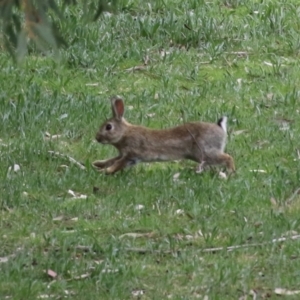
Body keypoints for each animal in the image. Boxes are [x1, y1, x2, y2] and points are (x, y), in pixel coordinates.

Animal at [92, 96, 236, 175]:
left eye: (108, 127)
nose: (97, 138)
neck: (125, 133)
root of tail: (220, 128)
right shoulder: (124, 154)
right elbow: (112, 160)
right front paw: (97, 164)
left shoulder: (132, 154)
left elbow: (118, 163)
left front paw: (105, 171)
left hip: (206, 152)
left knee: (228, 157)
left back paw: (230, 172)